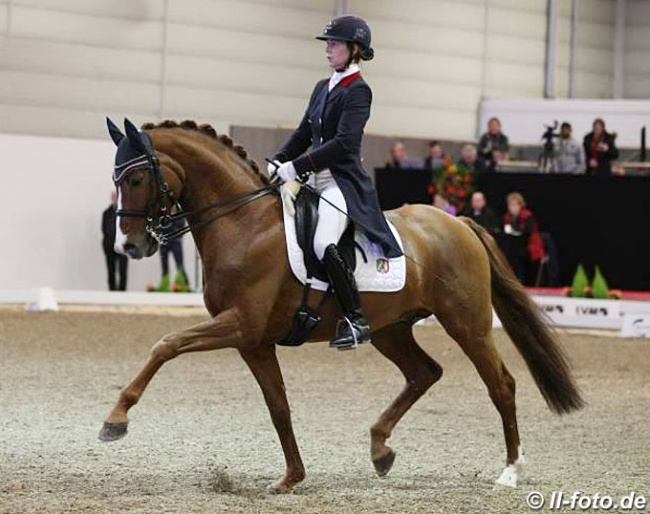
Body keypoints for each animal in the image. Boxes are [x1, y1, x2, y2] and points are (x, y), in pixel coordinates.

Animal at [101, 119, 584, 492]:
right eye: (116, 180)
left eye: (136, 179)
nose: (130, 246)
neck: (243, 223)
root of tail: (459, 222)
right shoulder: (254, 341)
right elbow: (278, 406)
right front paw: (291, 478)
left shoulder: (239, 325)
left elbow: (165, 344)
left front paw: (116, 420)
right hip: (390, 329)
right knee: (424, 372)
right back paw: (380, 449)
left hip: (468, 324)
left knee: (501, 384)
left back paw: (510, 472)